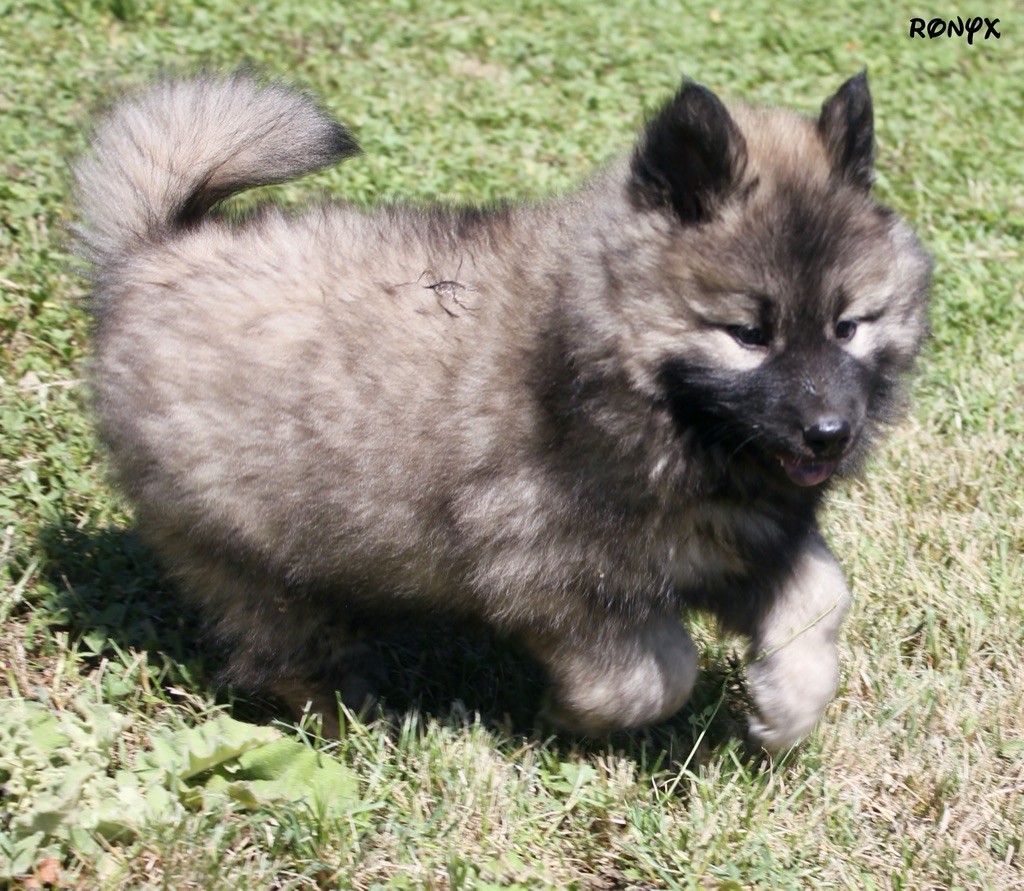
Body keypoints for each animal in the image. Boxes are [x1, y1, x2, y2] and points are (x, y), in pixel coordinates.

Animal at [74, 70, 930, 750]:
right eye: (749, 335)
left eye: (849, 324)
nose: (830, 434)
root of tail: (153, 255)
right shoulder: (554, 575)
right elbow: (658, 673)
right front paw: (573, 715)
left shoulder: (741, 542)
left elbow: (821, 599)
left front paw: (784, 708)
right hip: (250, 553)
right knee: (277, 648)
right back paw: (353, 720)